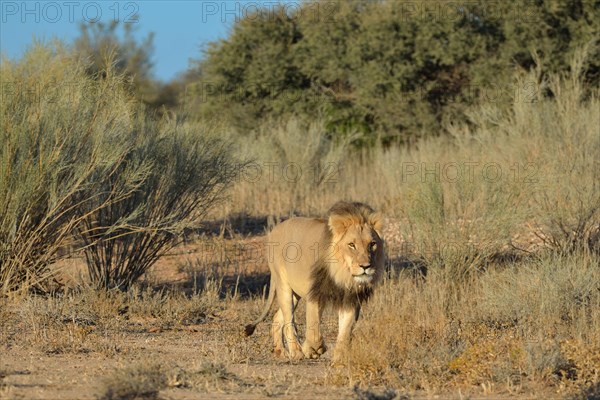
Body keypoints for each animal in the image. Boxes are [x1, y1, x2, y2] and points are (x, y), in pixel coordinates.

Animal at [245, 200, 382, 362]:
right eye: (351, 245)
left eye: (372, 244)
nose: (366, 266)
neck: (343, 274)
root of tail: (276, 228)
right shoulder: (315, 292)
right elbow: (313, 323)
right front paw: (313, 350)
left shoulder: (350, 298)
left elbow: (346, 330)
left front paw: (340, 359)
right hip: (283, 285)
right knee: (289, 321)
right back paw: (296, 352)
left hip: (295, 294)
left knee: (278, 317)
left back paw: (280, 351)